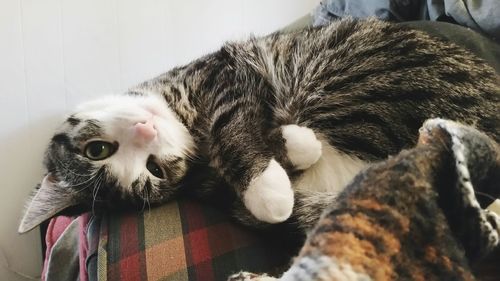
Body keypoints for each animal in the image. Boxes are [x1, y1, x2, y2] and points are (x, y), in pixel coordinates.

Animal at [17, 17, 498, 232]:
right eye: (154, 169)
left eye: (97, 149)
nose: (146, 131)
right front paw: (278, 180)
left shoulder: (228, 74)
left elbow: (233, 124)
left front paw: (271, 184)